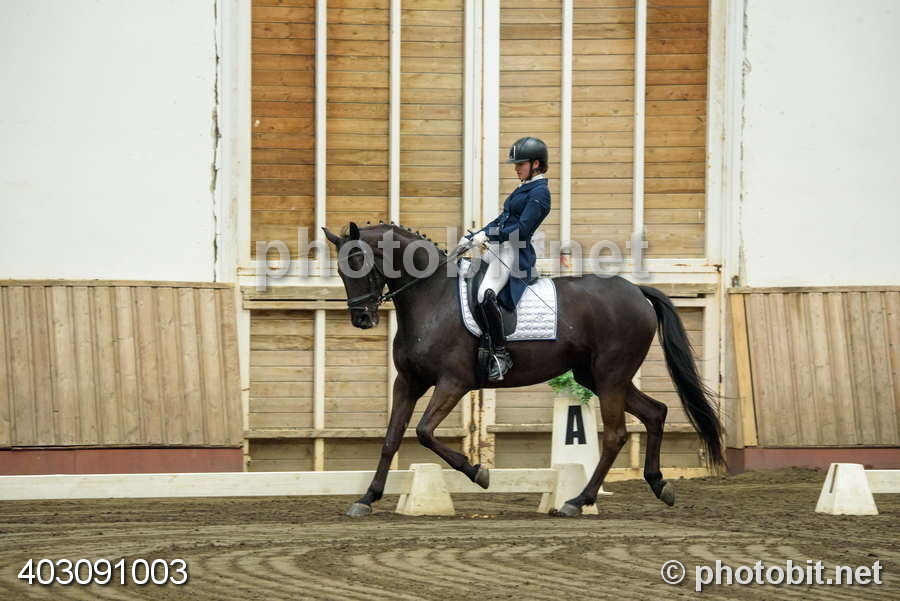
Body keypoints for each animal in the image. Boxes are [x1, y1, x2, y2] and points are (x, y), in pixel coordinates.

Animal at [322, 222, 725, 517]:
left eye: (359, 263)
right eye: (341, 269)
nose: (362, 318)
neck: (430, 298)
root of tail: (638, 291)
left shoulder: (453, 383)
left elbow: (423, 432)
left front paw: (479, 472)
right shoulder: (408, 382)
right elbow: (391, 438)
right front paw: (366, 499)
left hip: (611, 376)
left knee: (616, 435)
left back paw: (577, 502)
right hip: (597, 376)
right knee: (656, 413)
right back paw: (659, 485)